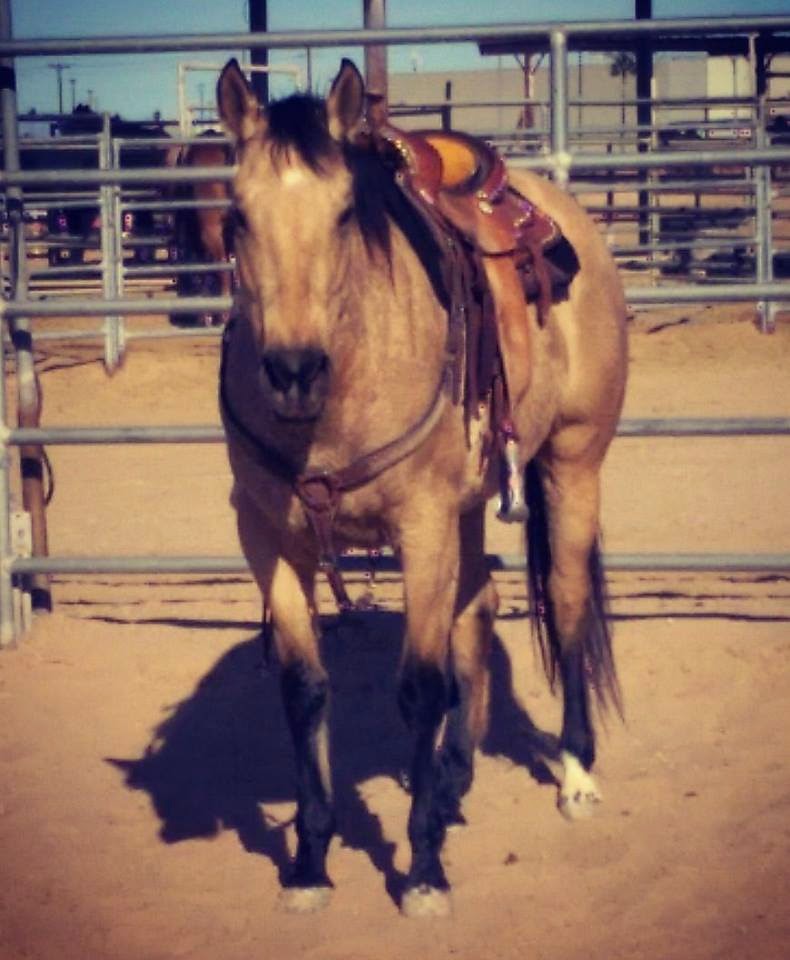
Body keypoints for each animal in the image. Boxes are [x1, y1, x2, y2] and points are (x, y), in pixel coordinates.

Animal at [216, 58, 628, 917]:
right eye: (236, 217)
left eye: (345, 213)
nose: (294, 371)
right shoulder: (268, 536)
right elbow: (305, 689)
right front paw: (311, 863)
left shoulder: (422, 526)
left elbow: (419, 687)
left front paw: (423, 869)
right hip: (472, 506)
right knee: (480, 605)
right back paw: (451, 780)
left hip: (573, 463)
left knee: (567, 604)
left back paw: (576, 774)